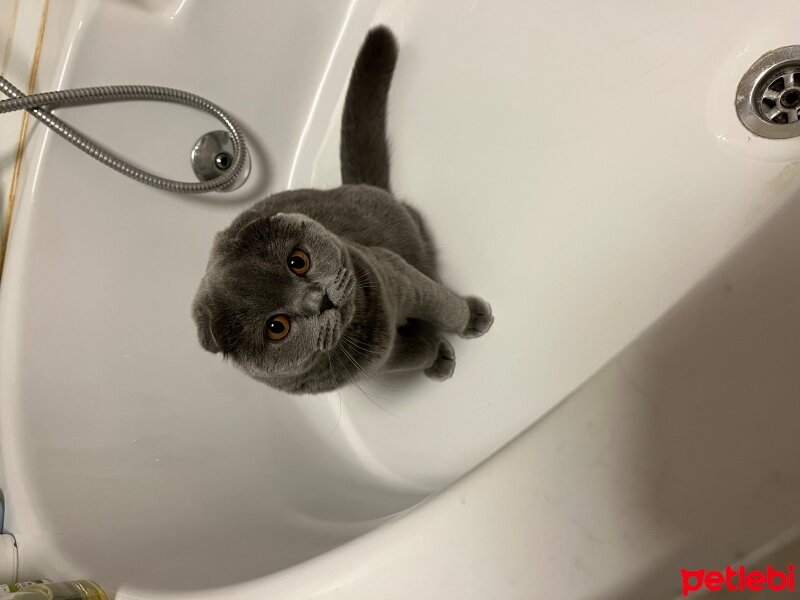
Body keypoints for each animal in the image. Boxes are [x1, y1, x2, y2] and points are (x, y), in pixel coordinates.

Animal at [194, 27, 494, 394]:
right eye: (277, 327)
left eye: (298, 262)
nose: (318, 299)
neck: (363, 322)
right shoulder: (377, 362)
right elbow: (414, 354)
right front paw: (436, 355)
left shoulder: (396, 274)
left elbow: (441, 305)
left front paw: (470, 318)